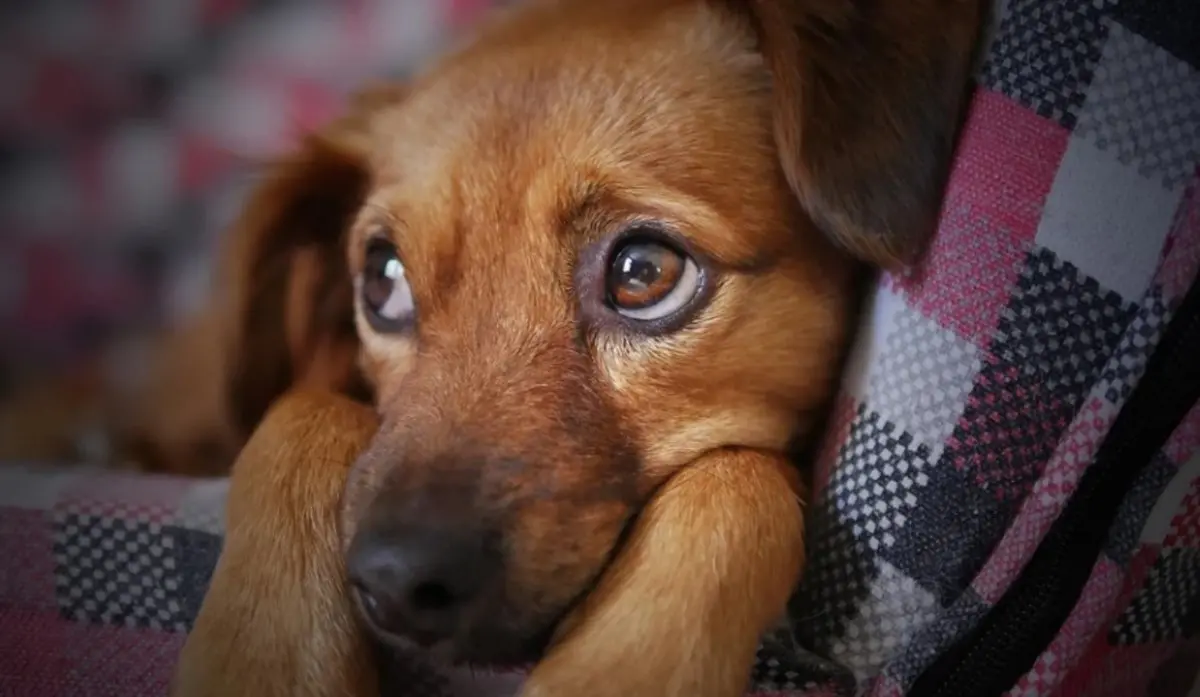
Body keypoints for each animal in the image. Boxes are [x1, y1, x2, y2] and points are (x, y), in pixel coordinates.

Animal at [166, 0, 984, 691]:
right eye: (383, 279)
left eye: (643, 272)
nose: (395, 582)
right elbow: (302, 411)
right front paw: (262, 657)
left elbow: (738, 476)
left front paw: (619, 666)